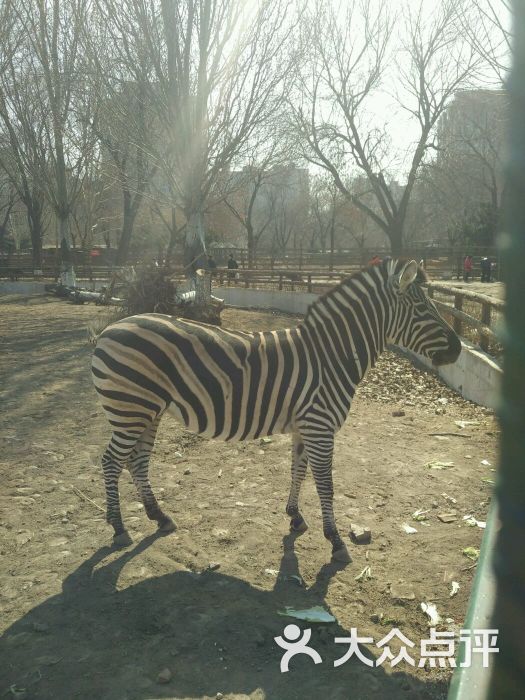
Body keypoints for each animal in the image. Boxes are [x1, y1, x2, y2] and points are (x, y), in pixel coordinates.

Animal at [92, 260, 460, 560]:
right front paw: (336, 541)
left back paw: (159, 517)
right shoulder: (320, 427)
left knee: (137, 461)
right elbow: (325, 483)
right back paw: (119, 528)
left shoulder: (305, 426)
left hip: (147, 411)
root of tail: (108, 330)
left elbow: (298, 471)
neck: (331, 356)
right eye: (422, 307)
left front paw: (295, 516)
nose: (458, 349)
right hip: (130, 409)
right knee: (111, 461)